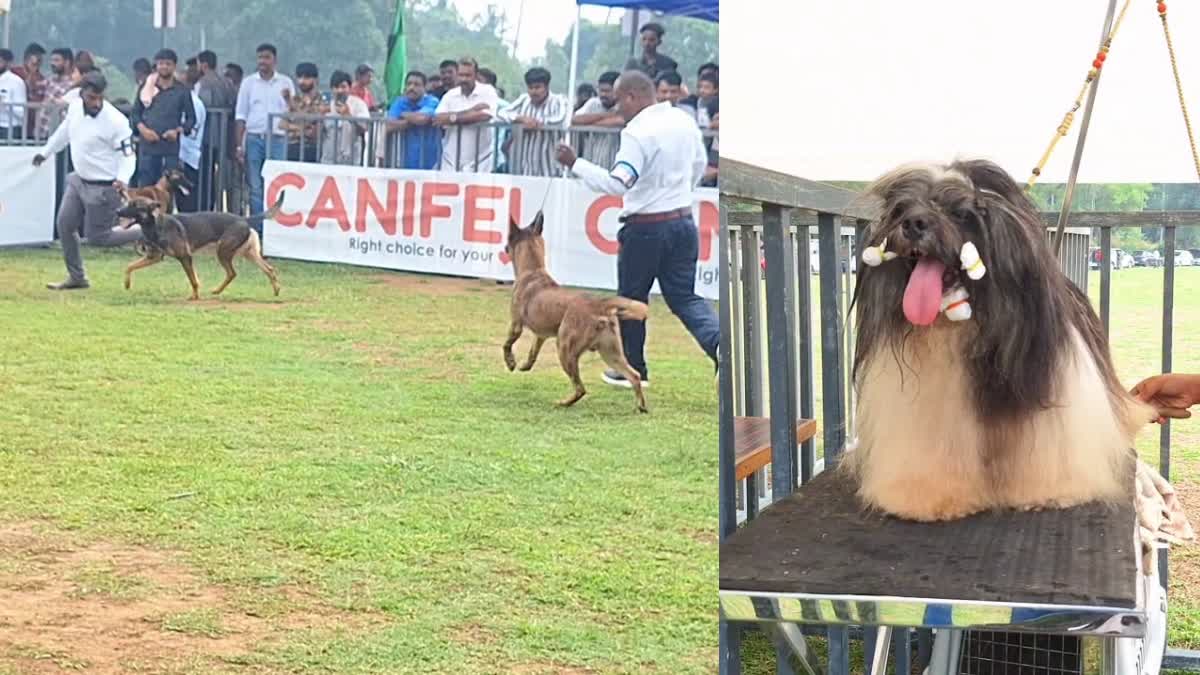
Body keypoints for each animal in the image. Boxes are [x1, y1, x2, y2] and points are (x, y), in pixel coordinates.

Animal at [116, 193, 285, 300]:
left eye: (134, 205)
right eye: (128, 203)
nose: (117, 211)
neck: (157, 224)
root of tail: (245, 219)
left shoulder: (185, 257)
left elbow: (193, 280)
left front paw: (195, 296)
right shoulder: (154, 257)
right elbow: (129, 266)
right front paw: (126, 284)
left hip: (222, 251)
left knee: (232, 273)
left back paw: (217, 290)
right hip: (249, 254)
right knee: (269, 269)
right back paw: (276, 290)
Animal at [508, 211, 657, 410]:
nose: (504, 248)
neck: (533, 271)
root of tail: (598, 304)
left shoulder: (516, 324)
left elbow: (507, 344)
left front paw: (510, 362)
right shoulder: (541, 335)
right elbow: (533, 351)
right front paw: (525, 365)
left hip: (565, 348)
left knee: (581, 388)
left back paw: (564, 403)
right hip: (610, 353)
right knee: (634, 375)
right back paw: (641, 406)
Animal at [840, 158, 1156, 521]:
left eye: (960, 212)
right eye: (901, 209)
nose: (913, 223)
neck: (963, 322)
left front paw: (1050, 492)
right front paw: (927, 497)